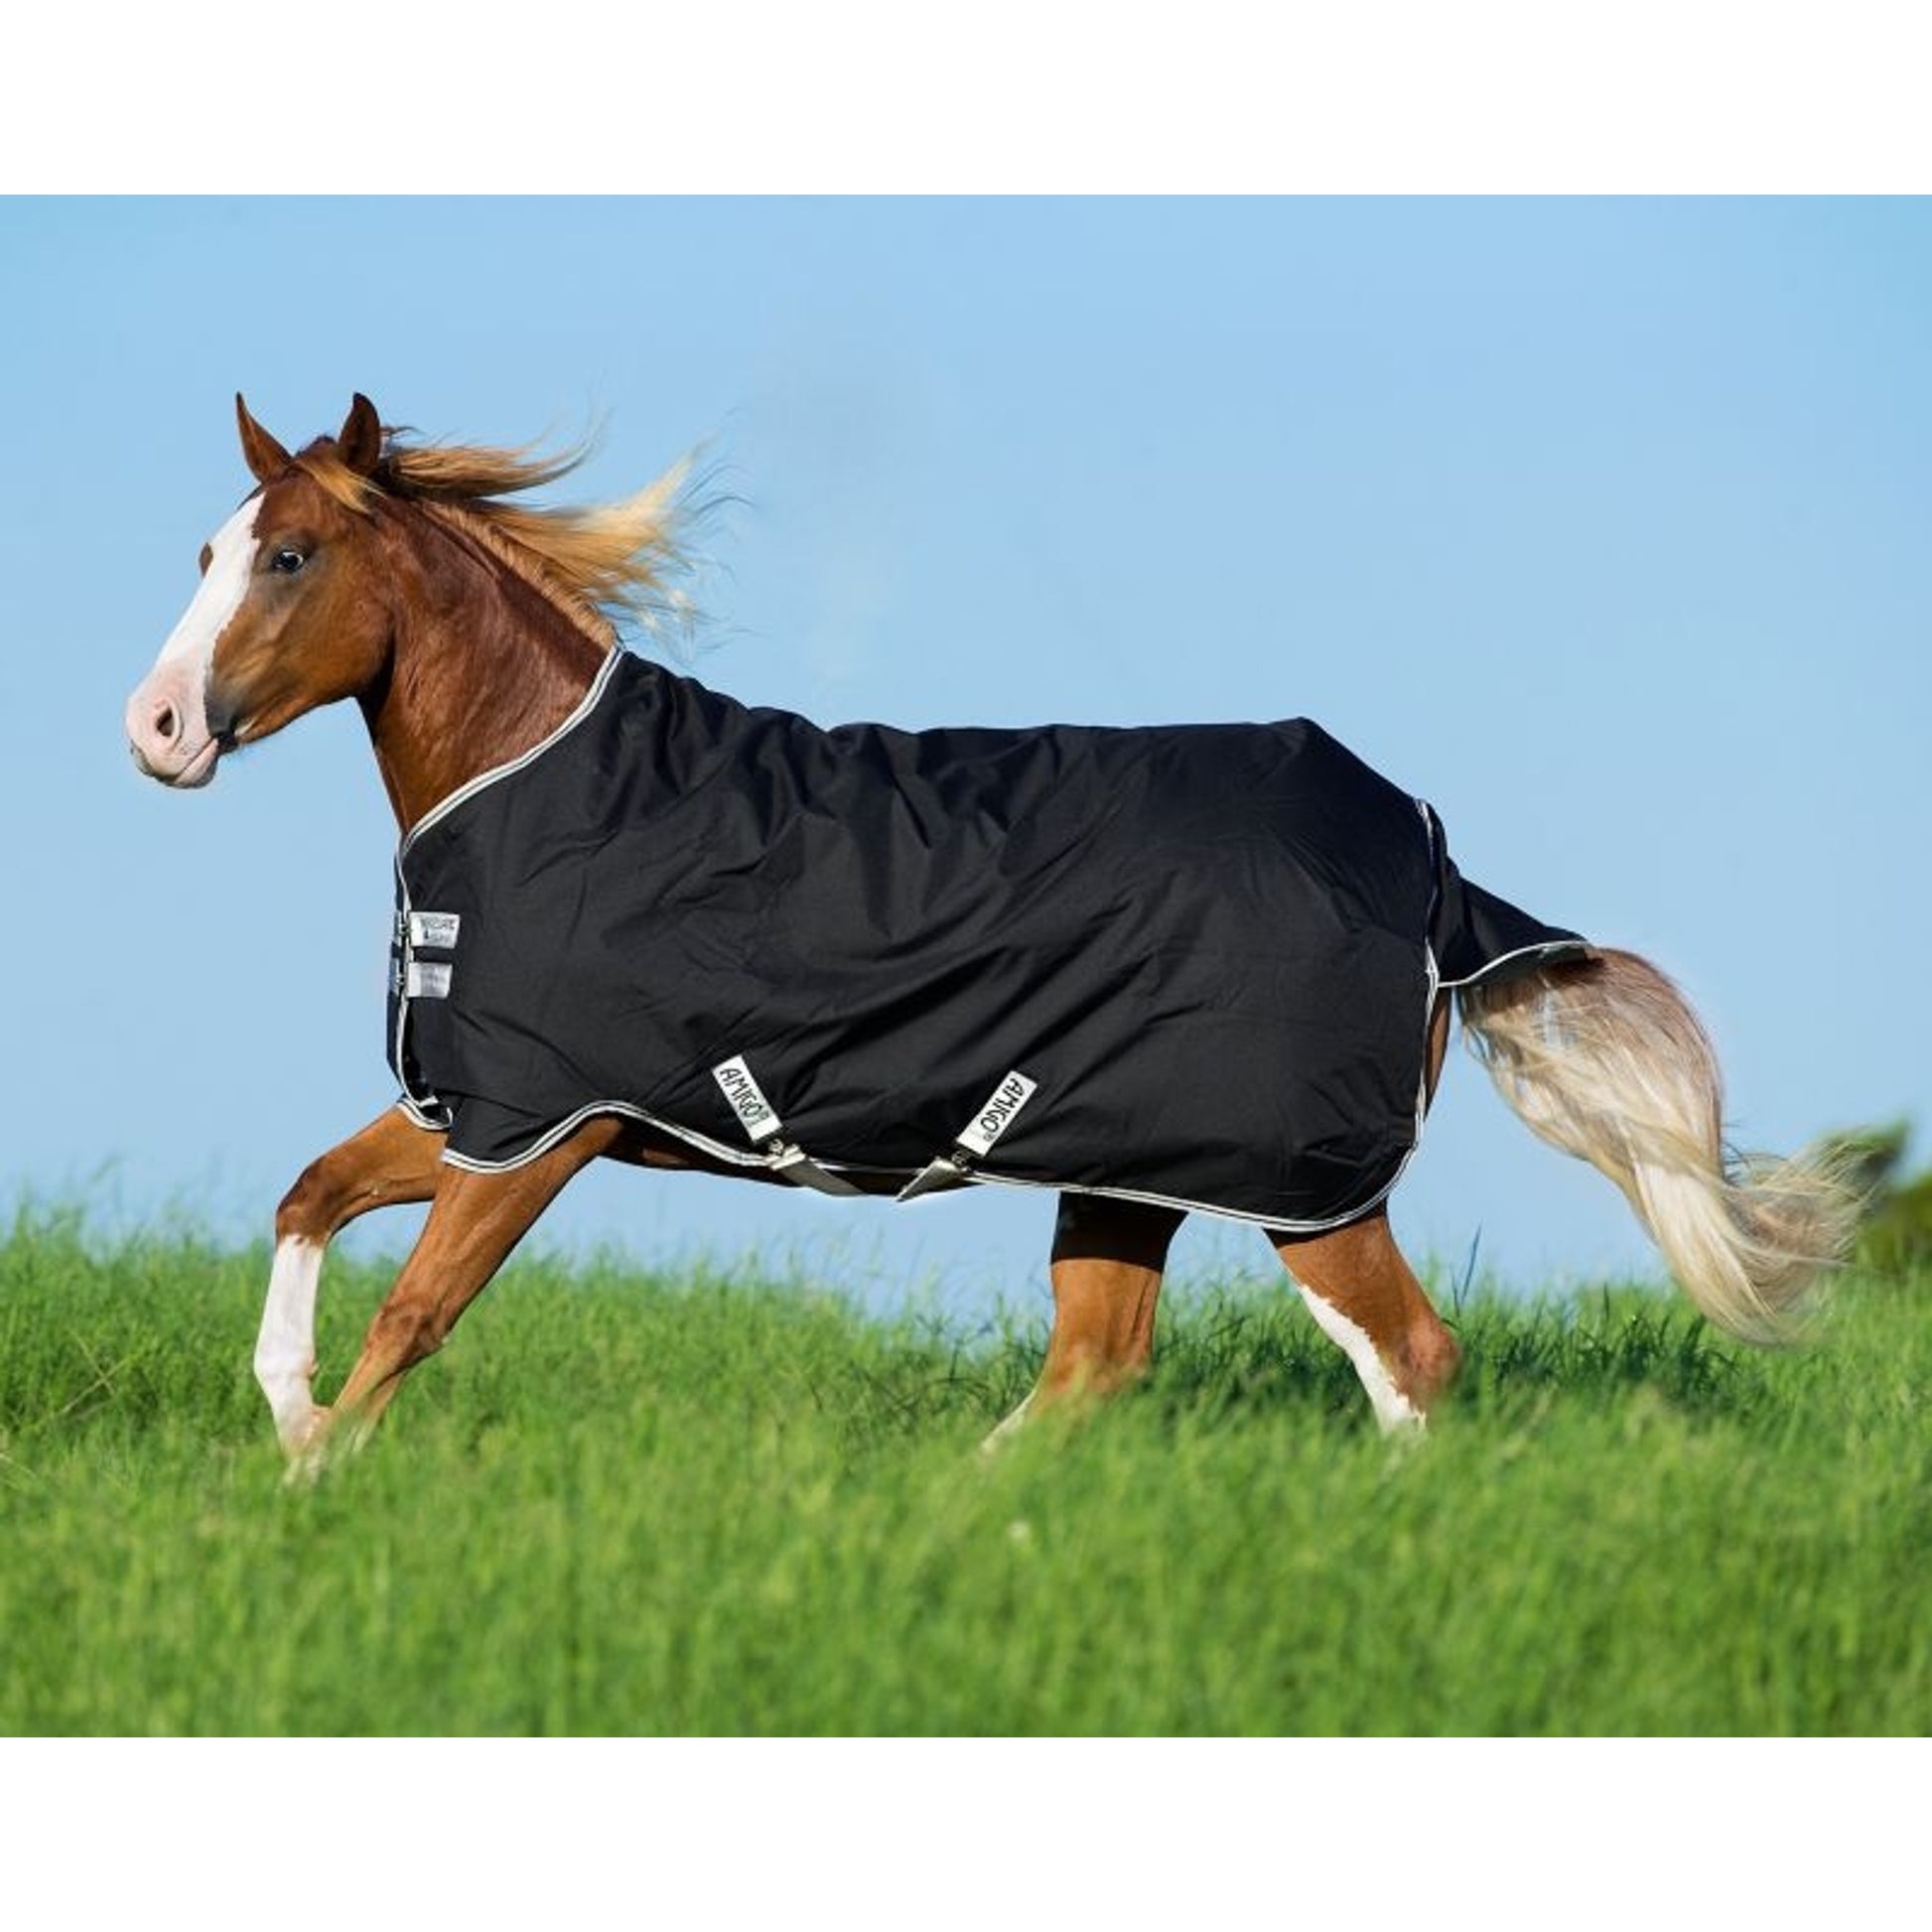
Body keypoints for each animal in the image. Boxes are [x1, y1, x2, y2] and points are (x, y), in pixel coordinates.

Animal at [125, 395, 1854, 1468]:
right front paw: (288, 1431)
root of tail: (1429, 865)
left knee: (1407, 1361)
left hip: (1297, 1182)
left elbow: (412, 1314)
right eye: (206, 551)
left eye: (291, 556)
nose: (156, 728)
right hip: (1129, 1169)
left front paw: (313, 1483)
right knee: (1096, 1365)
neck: (540, 781)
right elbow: (309, 1196)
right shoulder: (485, 1109)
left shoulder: (542, 1123)